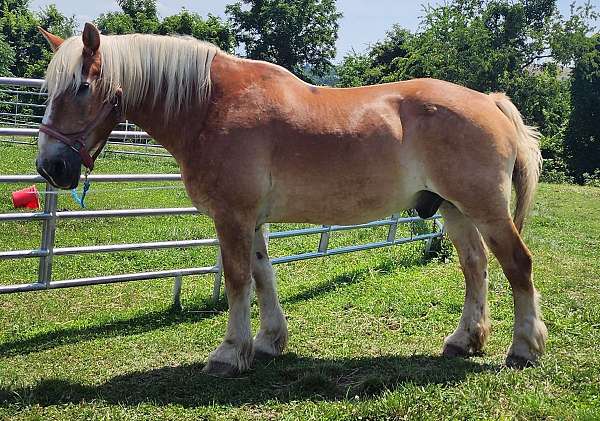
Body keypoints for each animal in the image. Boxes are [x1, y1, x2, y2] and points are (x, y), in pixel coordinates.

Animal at [35, 23, 548, 376]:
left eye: (82, 87)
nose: (50, 167)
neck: (210, 105)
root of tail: (489, 99)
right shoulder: (252, 220)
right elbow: (263, 276)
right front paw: (267, 342)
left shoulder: (232, 217)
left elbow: (238, 280)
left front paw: (229, 353)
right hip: (453, 209)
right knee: (475, 267)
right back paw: (465, 340)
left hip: (485, 210)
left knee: (517, 265)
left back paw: (523, 348)